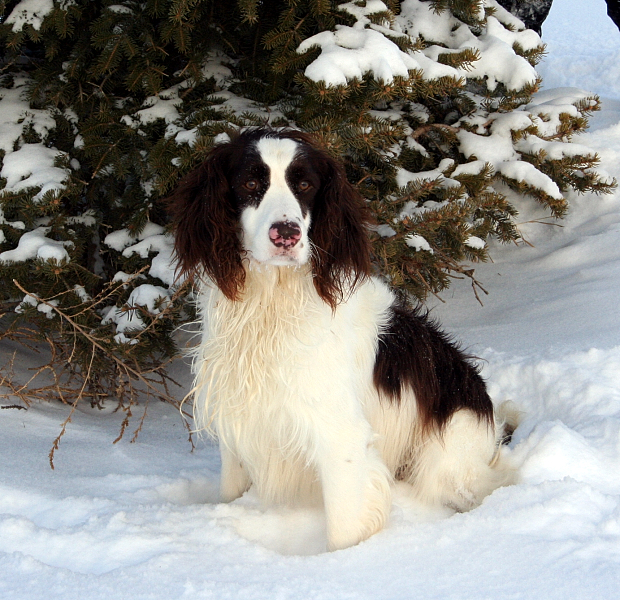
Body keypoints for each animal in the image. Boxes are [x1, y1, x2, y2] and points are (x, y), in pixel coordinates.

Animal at [168, 129, 512, 552]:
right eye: (249, 183)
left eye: (305, 185)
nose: (286, 234)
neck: (272, 302)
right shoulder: (241, 426)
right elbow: (230, 489)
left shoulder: (339, 436)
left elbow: (343, 531)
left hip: (446, 466)